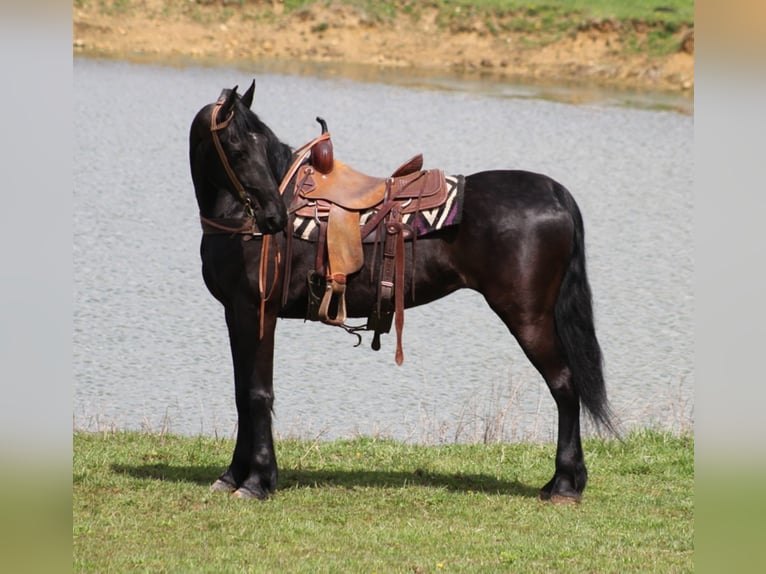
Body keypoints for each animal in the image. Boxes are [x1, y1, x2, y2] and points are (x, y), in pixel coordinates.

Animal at [189, 81, 616, 504]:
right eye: (239, 149)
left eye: (262, 146)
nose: (274, 217)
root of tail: (554, 192)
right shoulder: (236, 313)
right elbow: (241, 392)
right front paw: (232, 475)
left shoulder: (256, 311)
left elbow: (257, 394)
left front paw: (257, 481)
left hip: (528, 317)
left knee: (564, 385)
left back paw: (565, 484)